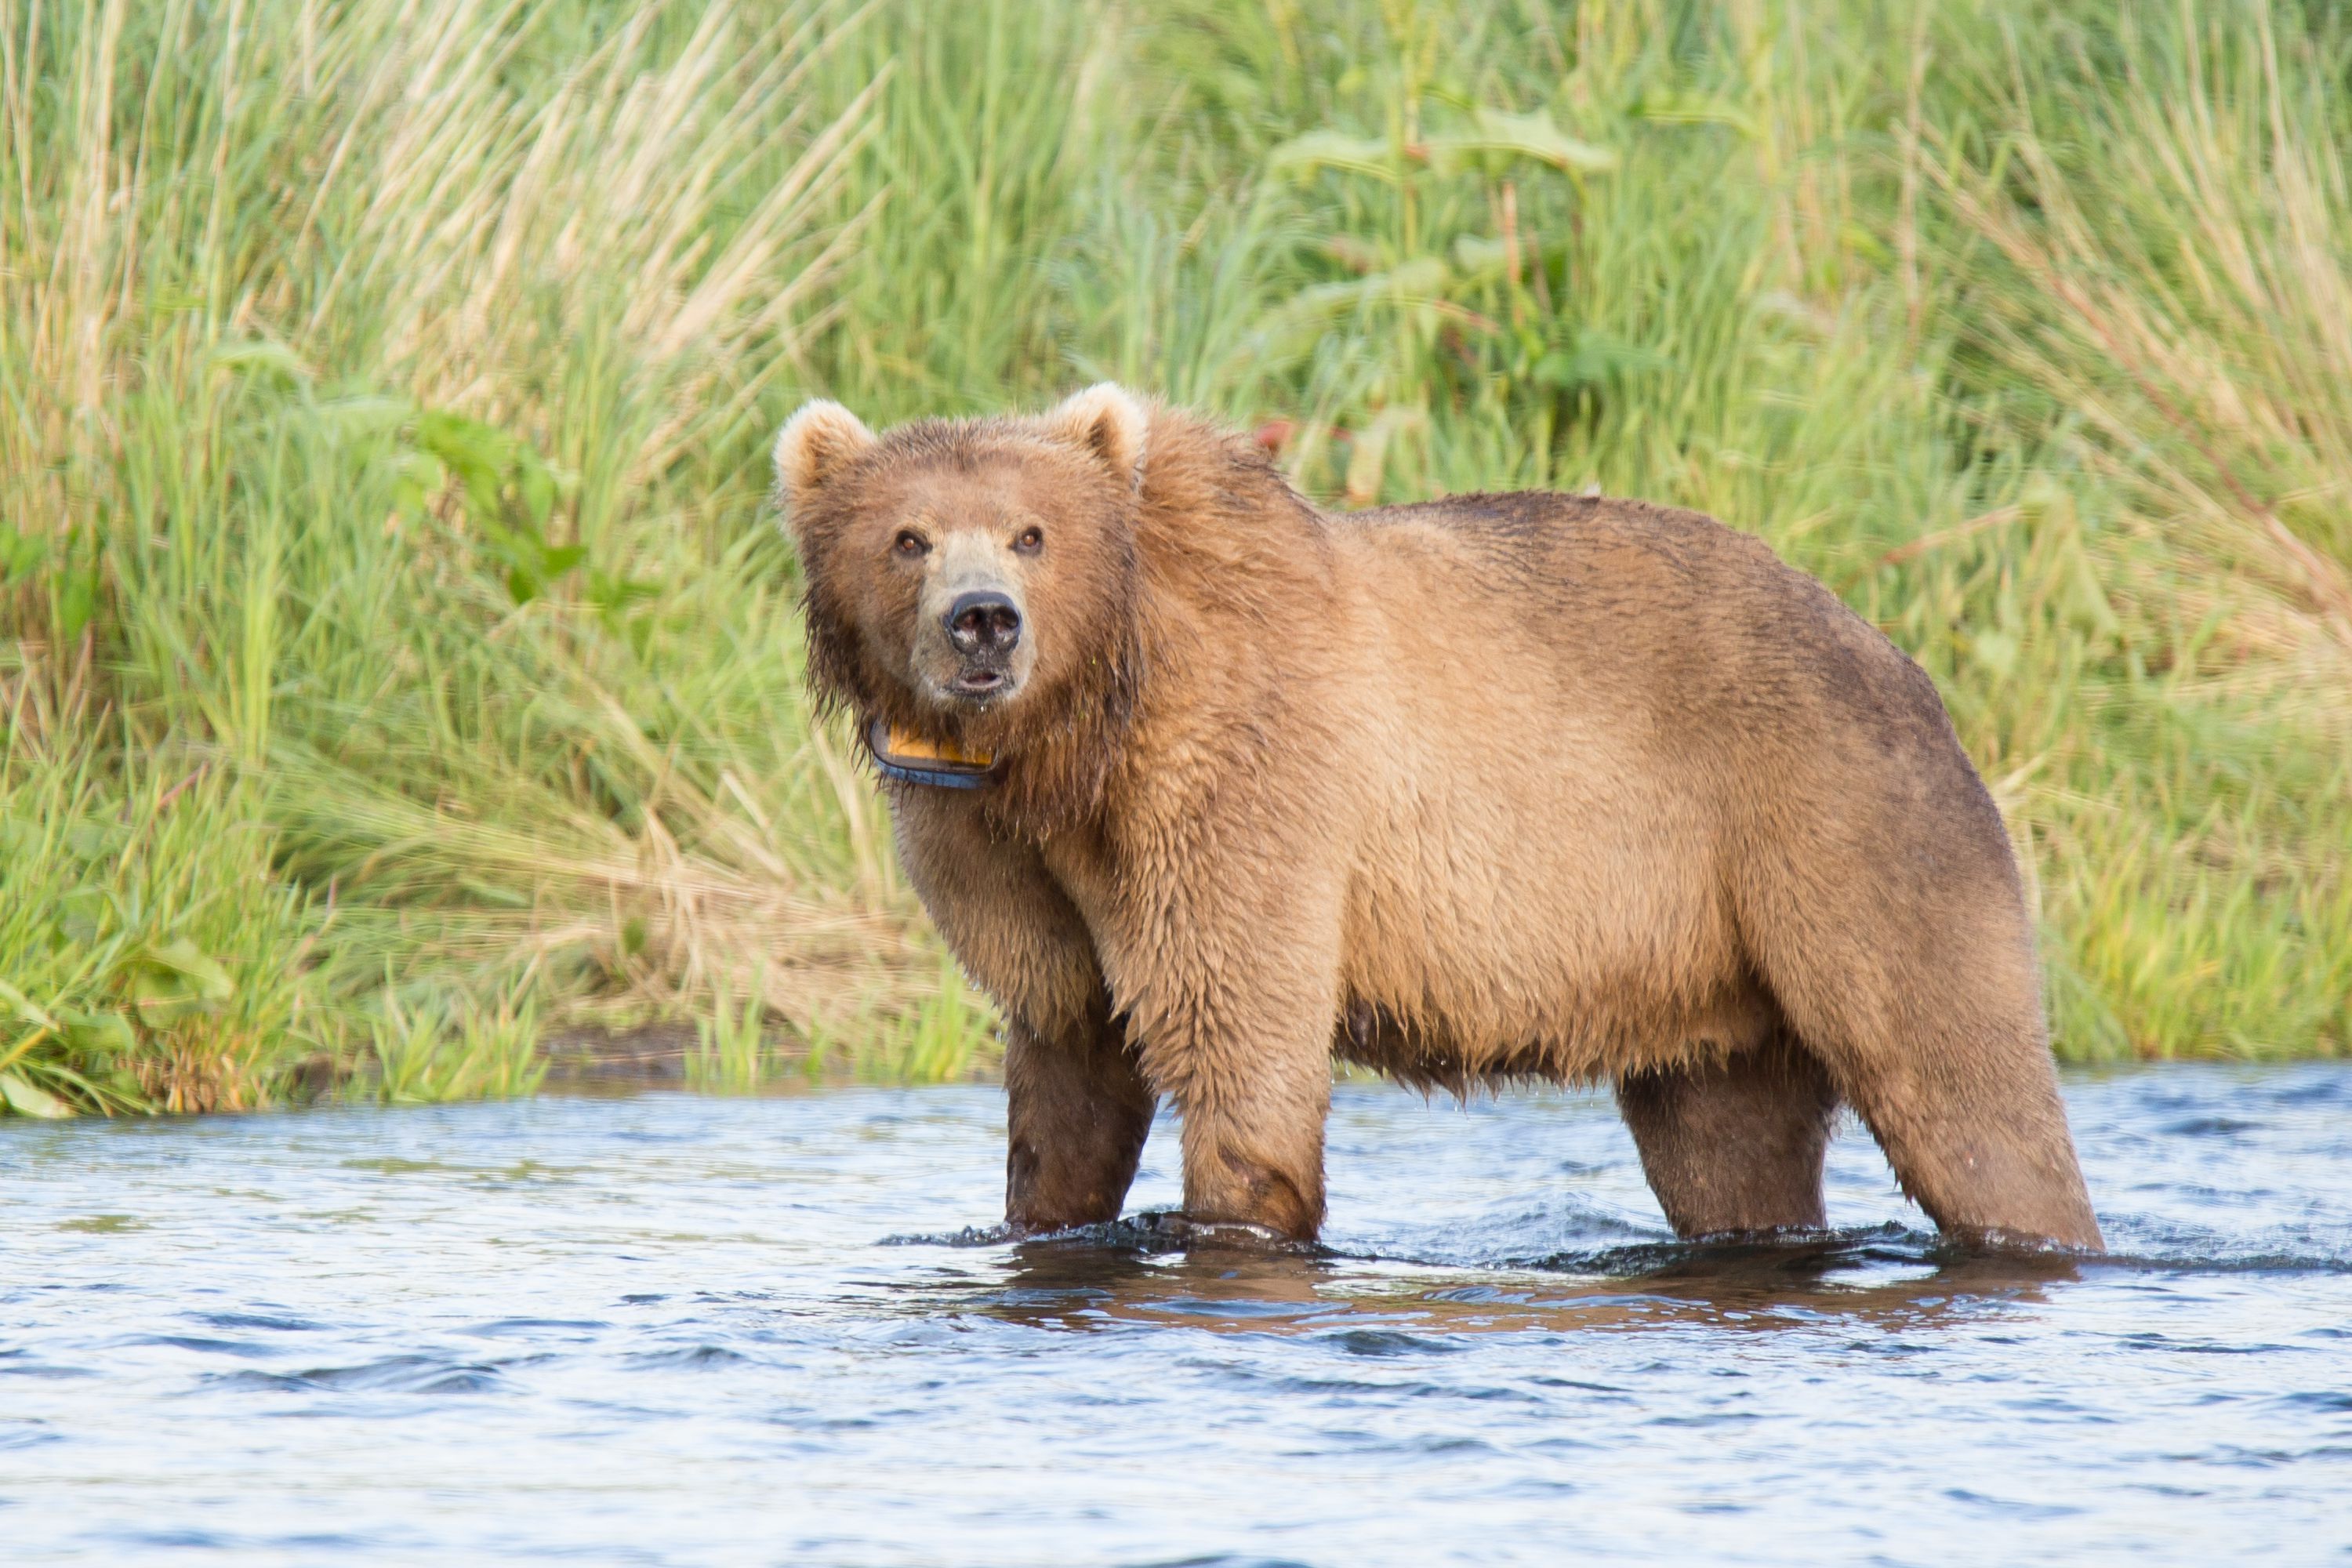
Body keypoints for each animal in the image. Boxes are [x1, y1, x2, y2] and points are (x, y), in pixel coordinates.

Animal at [776, 385, 2117, 1260]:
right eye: (906, 537)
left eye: (1032, 533)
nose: (984, 621)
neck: (1072, 747)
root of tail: (1897, 652)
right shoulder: (1010, 861)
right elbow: (1068, 1063)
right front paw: (1041, 1216)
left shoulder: (1239, 785)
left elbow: (1239, 1038)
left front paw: (1238, 1218)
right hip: (1711, 969)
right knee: (1728, 1147)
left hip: (1841, 827)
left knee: (1961, 1085)